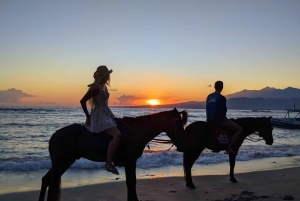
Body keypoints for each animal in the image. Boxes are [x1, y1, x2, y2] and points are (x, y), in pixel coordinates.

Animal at [38, 108, 188, 201]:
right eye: (178, 124)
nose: (182, 145)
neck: (136, 130)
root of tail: (54, 136)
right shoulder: (130, 161)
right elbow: (131, 182)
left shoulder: (130, 162)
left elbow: (131, 183)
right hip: (62, 162)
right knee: (46, 180)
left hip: (63, 163)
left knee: (50, 180)